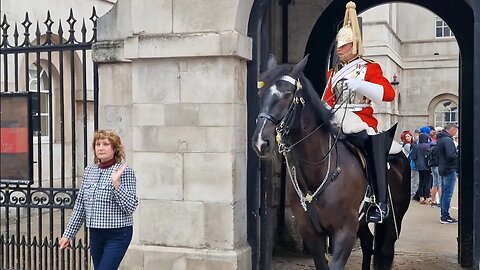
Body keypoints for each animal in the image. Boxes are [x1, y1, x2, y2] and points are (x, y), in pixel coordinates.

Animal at [249, 54, 410, 268]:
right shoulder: (310, 233)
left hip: (394, 217)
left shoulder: (344, 232)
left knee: (384, 249)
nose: (260, 142)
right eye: (260, 94)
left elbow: (387, 91)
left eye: (287, 94)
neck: (317, 169)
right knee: (368, 243)